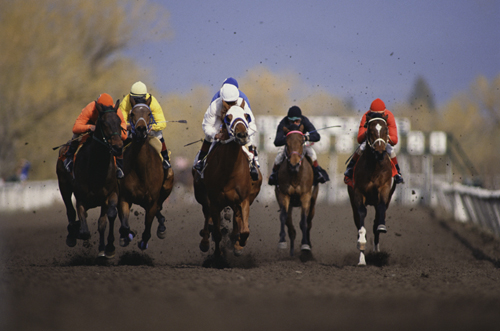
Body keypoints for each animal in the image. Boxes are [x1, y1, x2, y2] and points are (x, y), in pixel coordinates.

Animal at [55, 100, 124, 258]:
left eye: (119, 121)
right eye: (104, 123)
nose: (118, 147)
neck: (97, 169)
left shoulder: (111, 194)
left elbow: (107, 218)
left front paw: (107, 248)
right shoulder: (81, 198)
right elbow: (84, 231)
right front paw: (76, 231)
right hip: (64, 186)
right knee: (70, 211)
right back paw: (72, 234)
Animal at [117, 98, 174, 252]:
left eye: (149, 113)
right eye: (132, 113)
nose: (141, 129)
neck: (141, 170)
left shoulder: (152, 201)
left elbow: (147, 230)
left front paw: (143, 242)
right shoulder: (124, 197)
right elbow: (125, 225)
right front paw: (127, 236)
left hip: (166, 185)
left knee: (159, 207)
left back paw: (161, 227)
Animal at [191, 105, 264, 258]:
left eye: (246, 116)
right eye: (228, 118)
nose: (242, 135)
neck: (229, 171)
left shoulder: (243, 200)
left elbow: (244, 230)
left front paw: (239, 244)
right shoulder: (214, 201)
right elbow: (217, 232)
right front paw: (218, 255)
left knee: (236, 220)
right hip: (202, 196)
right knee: (207, 216)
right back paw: (205, 241)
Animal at [276, 124, 318, 262]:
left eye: (301, 141)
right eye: (286, 143)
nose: (294, 165)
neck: (295, 175)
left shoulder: (305, 195)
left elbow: (304, 221)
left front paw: (305, 246)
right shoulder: (284, 195)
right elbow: (283, 217)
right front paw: (282, 242)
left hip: (313, 201)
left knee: (309, 222)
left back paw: (307, 248)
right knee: (290, 226)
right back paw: (292, 251)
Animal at [350, 113, 396, 266]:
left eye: (386, 130)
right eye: (370, 131)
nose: (380, 151)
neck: (374, 167)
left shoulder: (384, 188)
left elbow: (380, 211)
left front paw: (381, 227)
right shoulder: (358, 192)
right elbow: (362, 214)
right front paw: (361, 244)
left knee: (378, 218)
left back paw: (376, 251)